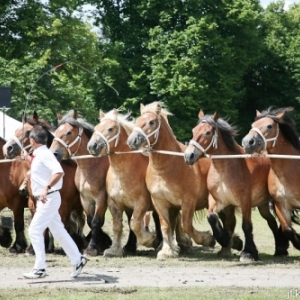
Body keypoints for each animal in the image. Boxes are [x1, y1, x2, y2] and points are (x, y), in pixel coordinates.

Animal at [2, 112, 86, 253]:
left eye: (28, 131)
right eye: (16, 130)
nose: (8, 148)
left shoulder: (63, 205)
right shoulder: (32, 202)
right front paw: (35, 247)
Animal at [86, 108, 165, 255]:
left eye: (111, 129)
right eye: (96, 127)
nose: (92, 146)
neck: (122, 173)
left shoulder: (141, 203)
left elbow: (135, 224)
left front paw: (150, 240)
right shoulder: (114, 204)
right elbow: (118, 226)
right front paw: (114, 250)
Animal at [126, 101, 216, 260]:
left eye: (151, 122)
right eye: (137, 120)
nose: (132, 140)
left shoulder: (188, 201)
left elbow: (187, 225)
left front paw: (207, 239)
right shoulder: (160, 202)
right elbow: (165, 226)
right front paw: (167, 251)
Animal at [184, 110, 288, 260]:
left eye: (208, 133)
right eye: (194, 130)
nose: (189, 156)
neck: (225, 170)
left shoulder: (245, 202)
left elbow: (246, 226)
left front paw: (248, 253)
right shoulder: (218, 201)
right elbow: (212, 218)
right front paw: (226, 239)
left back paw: (281, 249)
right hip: (263, 205)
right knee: (272, 222)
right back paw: (279, 249)